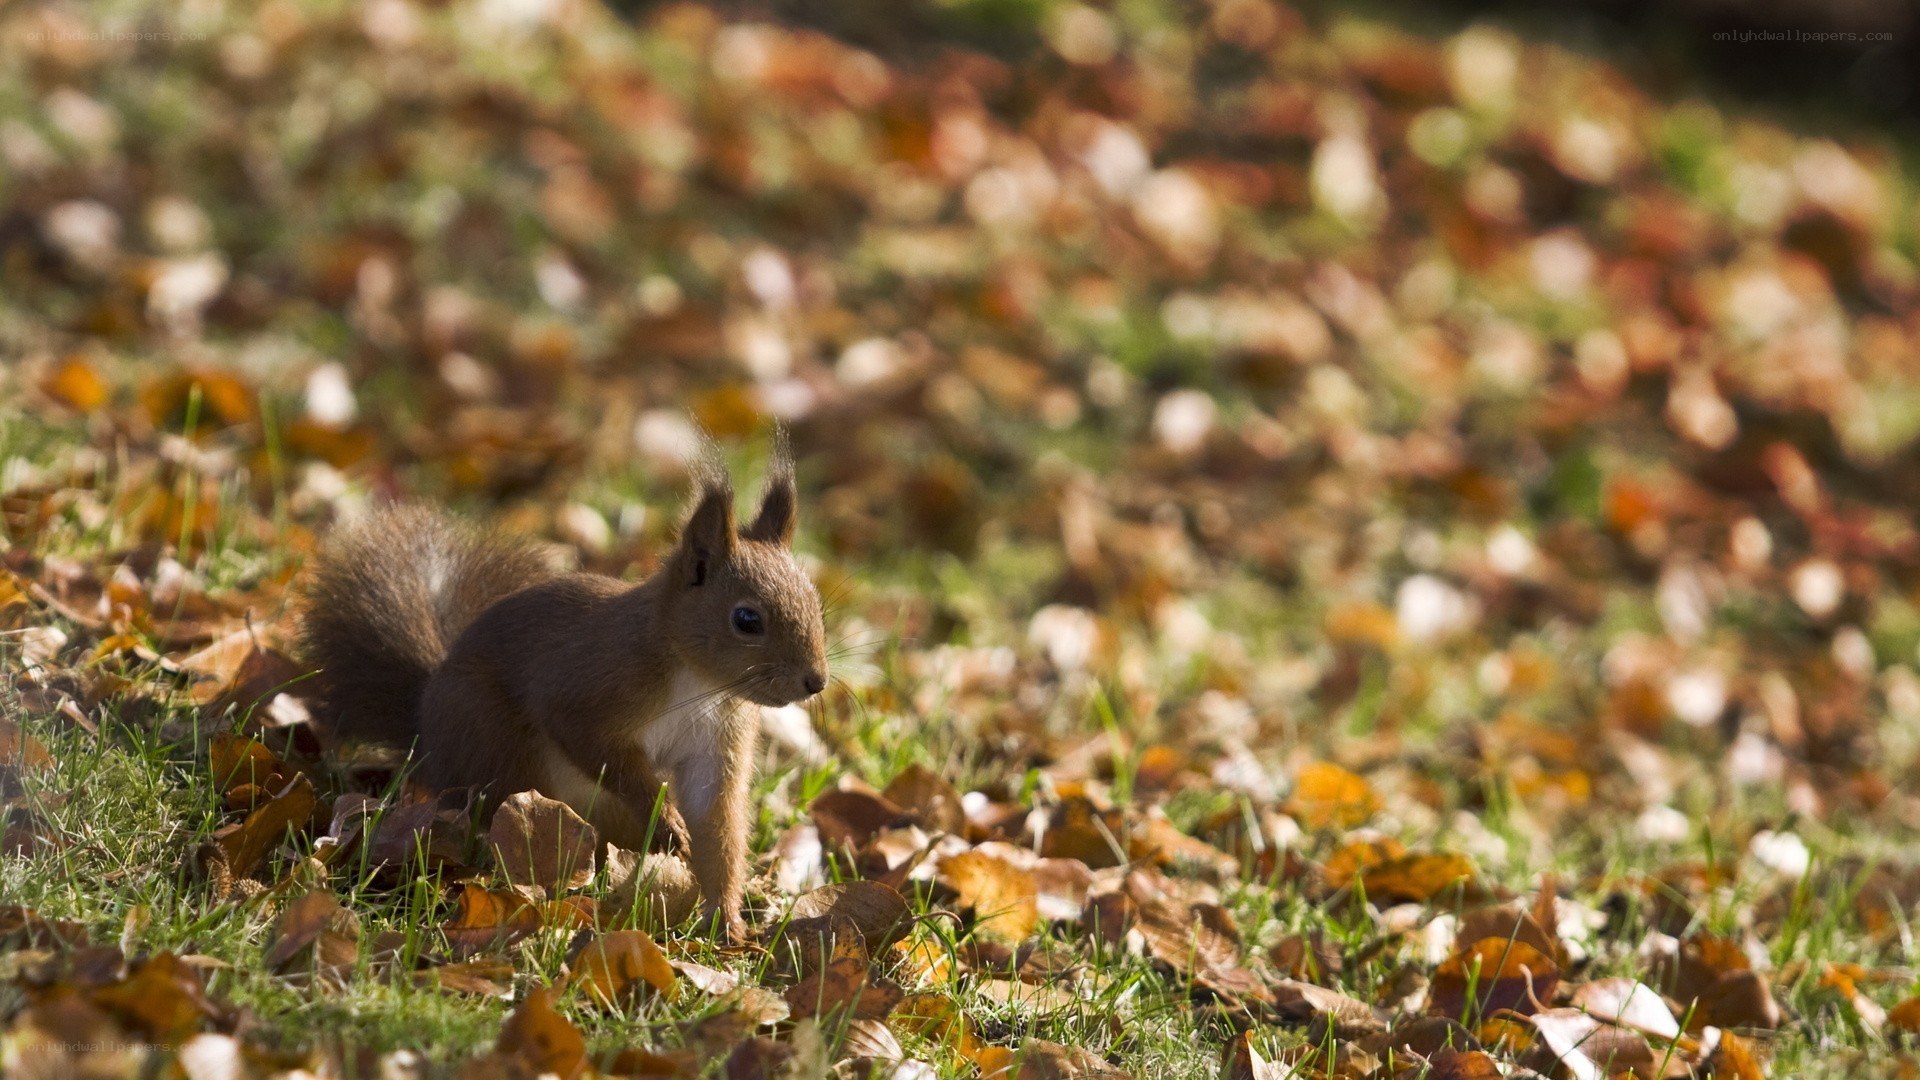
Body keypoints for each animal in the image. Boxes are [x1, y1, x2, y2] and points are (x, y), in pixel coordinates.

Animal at [297, 445, 827, 941]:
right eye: (746, 619)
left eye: (815, 601)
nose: (816, 681)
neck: (700, 683)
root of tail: (427, 733)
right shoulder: (589, 687)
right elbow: (591, 743)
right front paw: (667, 822)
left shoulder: (719, 739)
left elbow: (715, 818)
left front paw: (727, 921)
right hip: (496, 746)